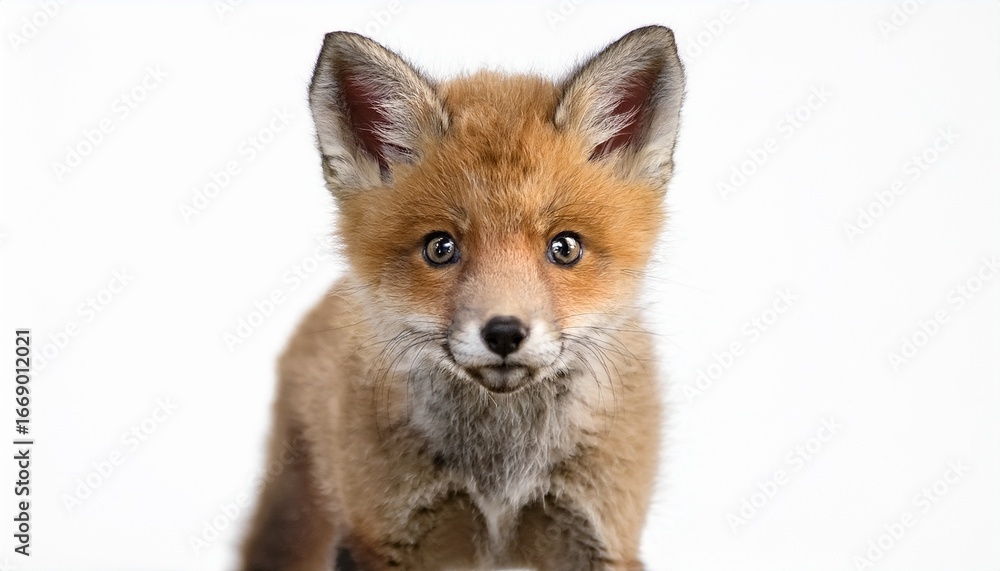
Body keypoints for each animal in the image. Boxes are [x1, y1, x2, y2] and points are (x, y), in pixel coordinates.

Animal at [241, 25, 685, 571]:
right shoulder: (382, 537)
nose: (504, 333)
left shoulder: (599, 534)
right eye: (441, 248)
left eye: (564, 247)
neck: (500, 472)